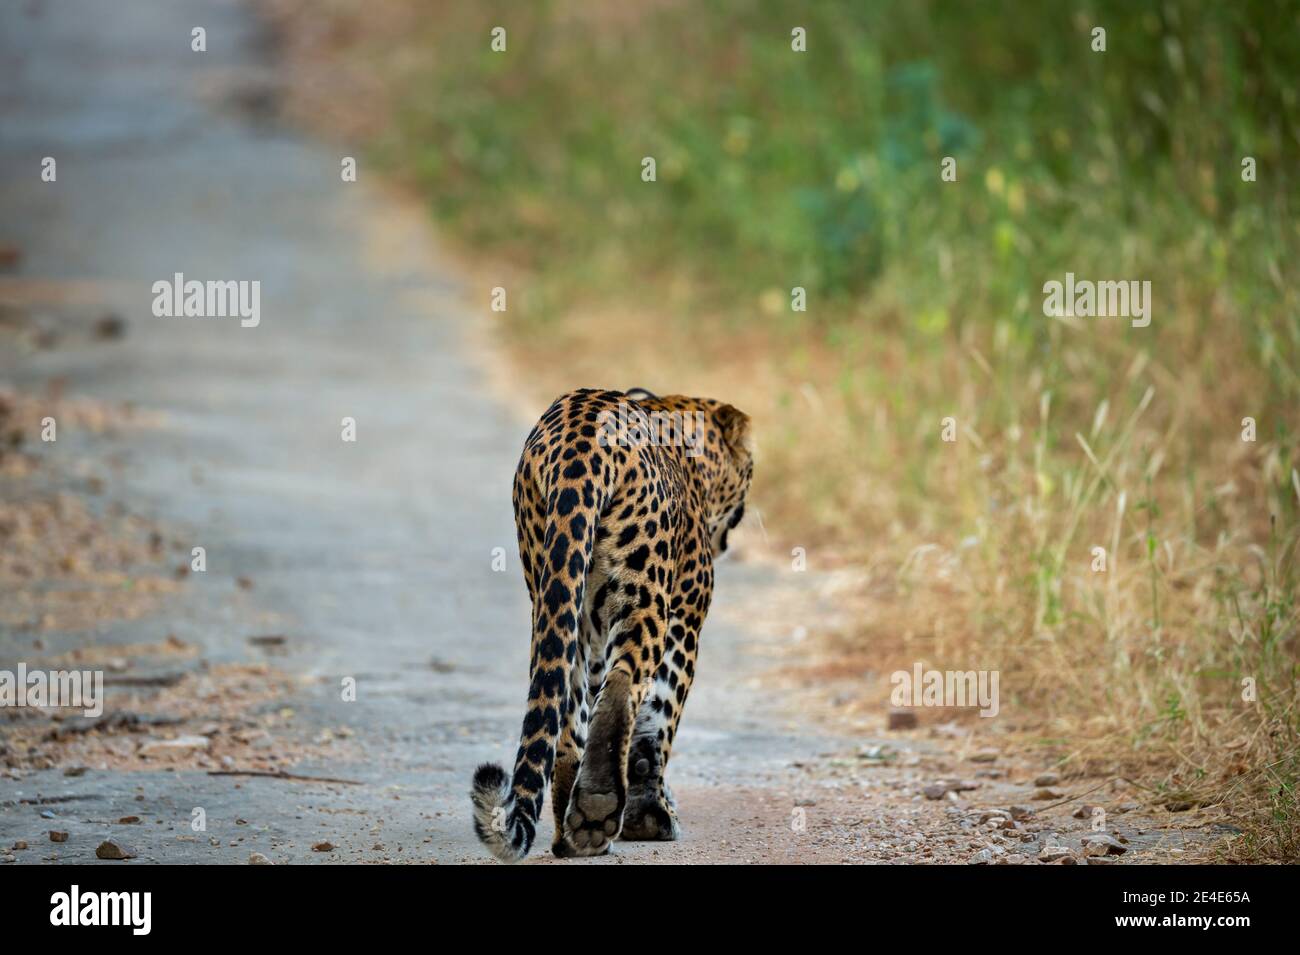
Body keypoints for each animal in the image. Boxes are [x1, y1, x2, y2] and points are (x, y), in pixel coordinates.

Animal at [470, 384, 754, 862]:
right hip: (644, 594)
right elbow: (659, 715)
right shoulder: (685, 617)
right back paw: (598, 806)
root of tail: (580, 438)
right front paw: (651, 815)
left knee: (567, 709)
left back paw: (573, 832)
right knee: (624, 685)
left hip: (559, 596)